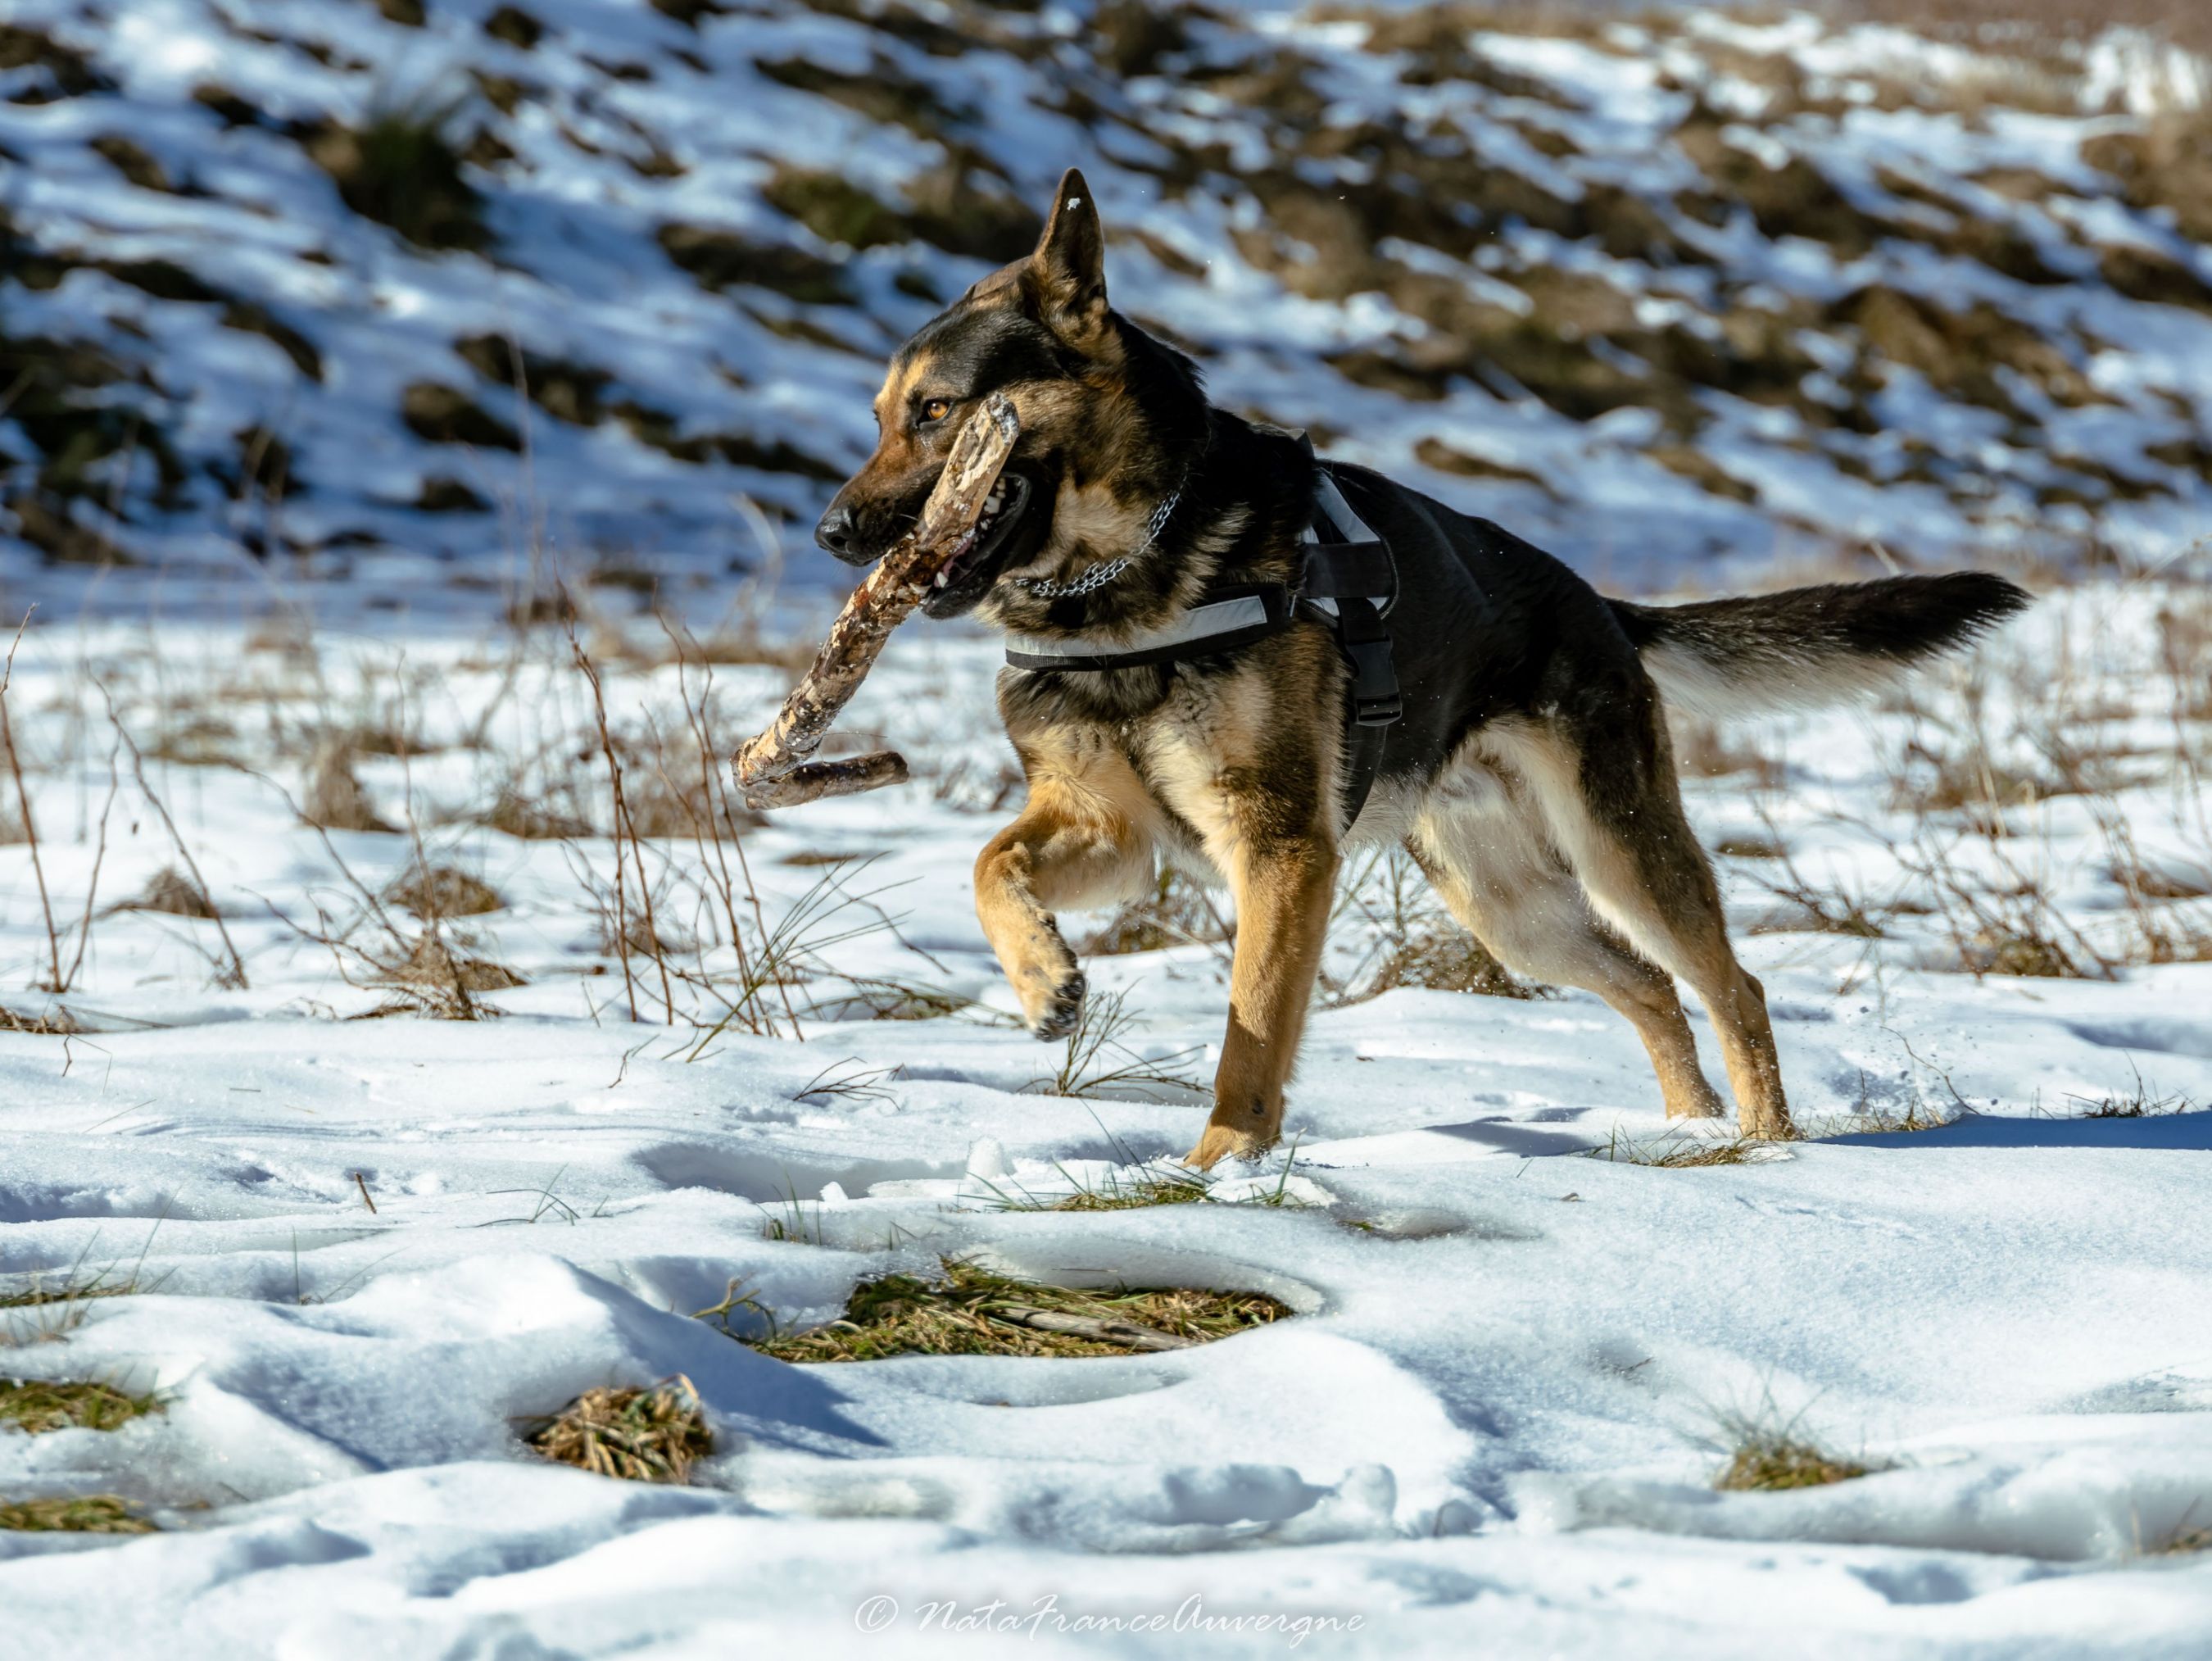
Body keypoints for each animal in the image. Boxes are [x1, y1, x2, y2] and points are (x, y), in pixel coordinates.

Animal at [818, 162, 2026, 1159]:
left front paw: (1223, 1170)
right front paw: (1044, 982)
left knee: (1735, 985)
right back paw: (1688, 1131)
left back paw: (1768, 1147)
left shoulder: (1279, 848)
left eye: (937, 411)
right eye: (878, 418)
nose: (833, 534)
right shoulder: (1113, 828)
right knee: (1649, 987)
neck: (1127, 583)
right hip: (1513, 908)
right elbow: (989, 866)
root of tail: (1598, 603)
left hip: (1618, 851)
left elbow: (1253, 1028)